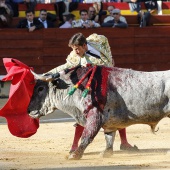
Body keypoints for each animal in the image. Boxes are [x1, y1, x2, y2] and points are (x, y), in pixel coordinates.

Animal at [27, 65, 170, 159]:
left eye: (40, 88)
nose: (29, 110)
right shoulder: (109, 121)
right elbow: (109, 136)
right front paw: (106, 153)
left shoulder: (94, 115)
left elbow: (87, 135)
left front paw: (75, 155)